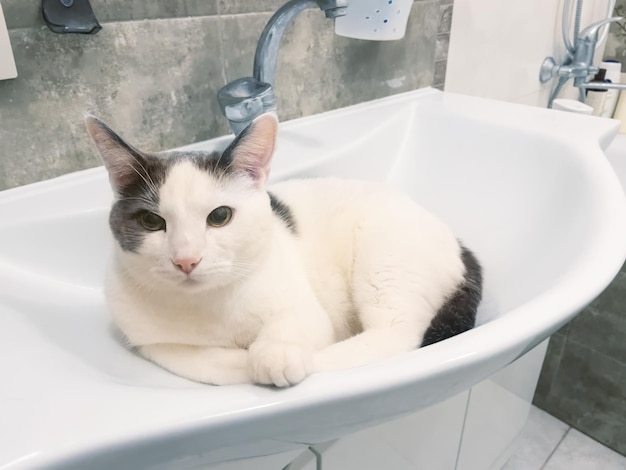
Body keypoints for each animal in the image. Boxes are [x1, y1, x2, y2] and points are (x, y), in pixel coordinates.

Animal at [85, 113, 480, 386]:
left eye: (220, 216)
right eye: (151, 222)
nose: (186, 260)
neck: (210, 307)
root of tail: (457, 240)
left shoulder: (305, 310)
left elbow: (293, 328)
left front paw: (274, 355)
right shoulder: (149, 342)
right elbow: (201, 361)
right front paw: (242, 362)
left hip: (384, 257)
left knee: (397, 332)